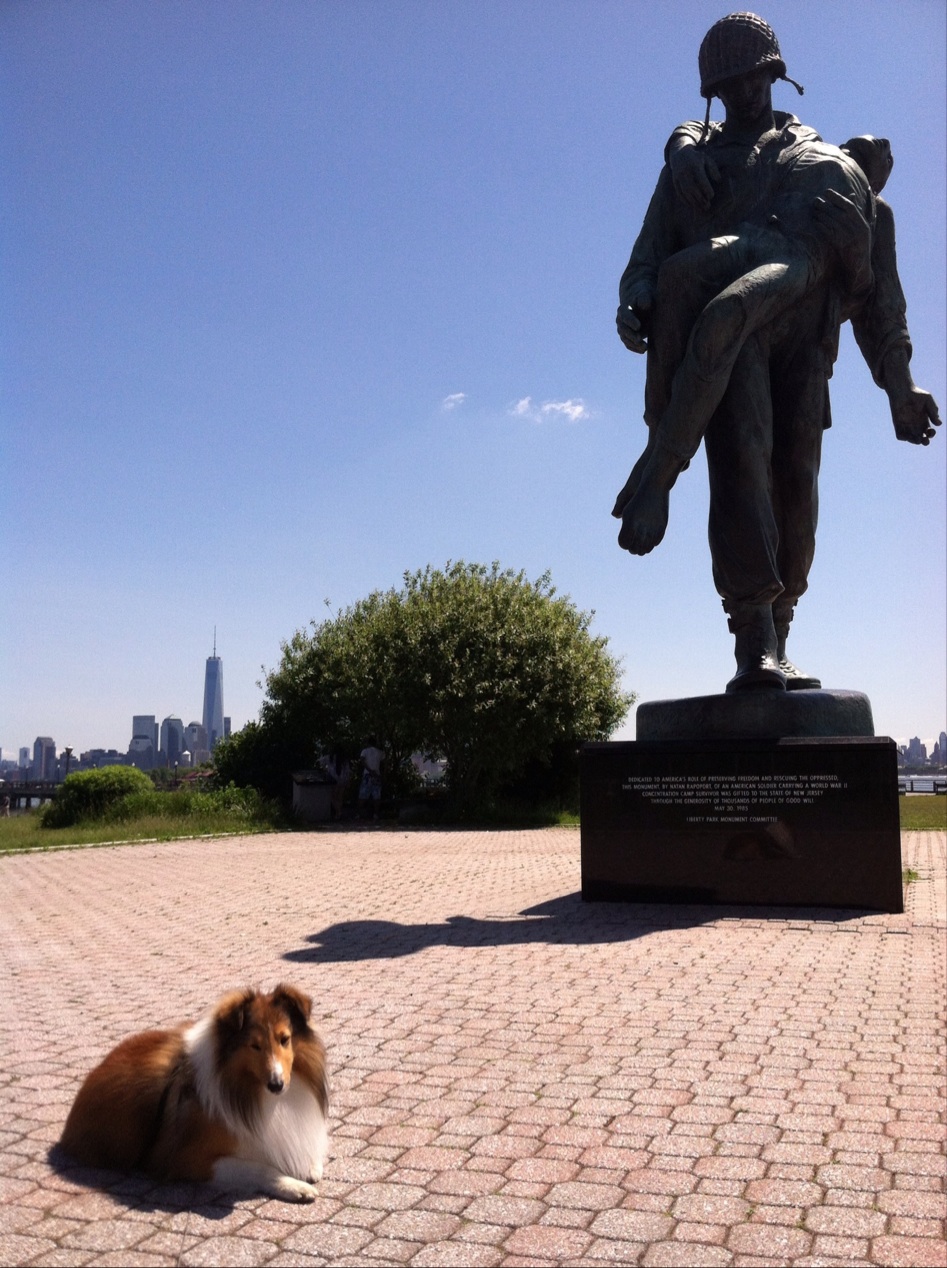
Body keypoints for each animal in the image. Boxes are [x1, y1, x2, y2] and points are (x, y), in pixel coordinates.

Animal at [60, 983, 329, 1202]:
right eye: (254, 1045)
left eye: (285, 1039)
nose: (277, 1085)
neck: (250, 1091)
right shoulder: (189, 1159)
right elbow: (259, 1167)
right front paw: (293, 1185)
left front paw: (309, 1164)